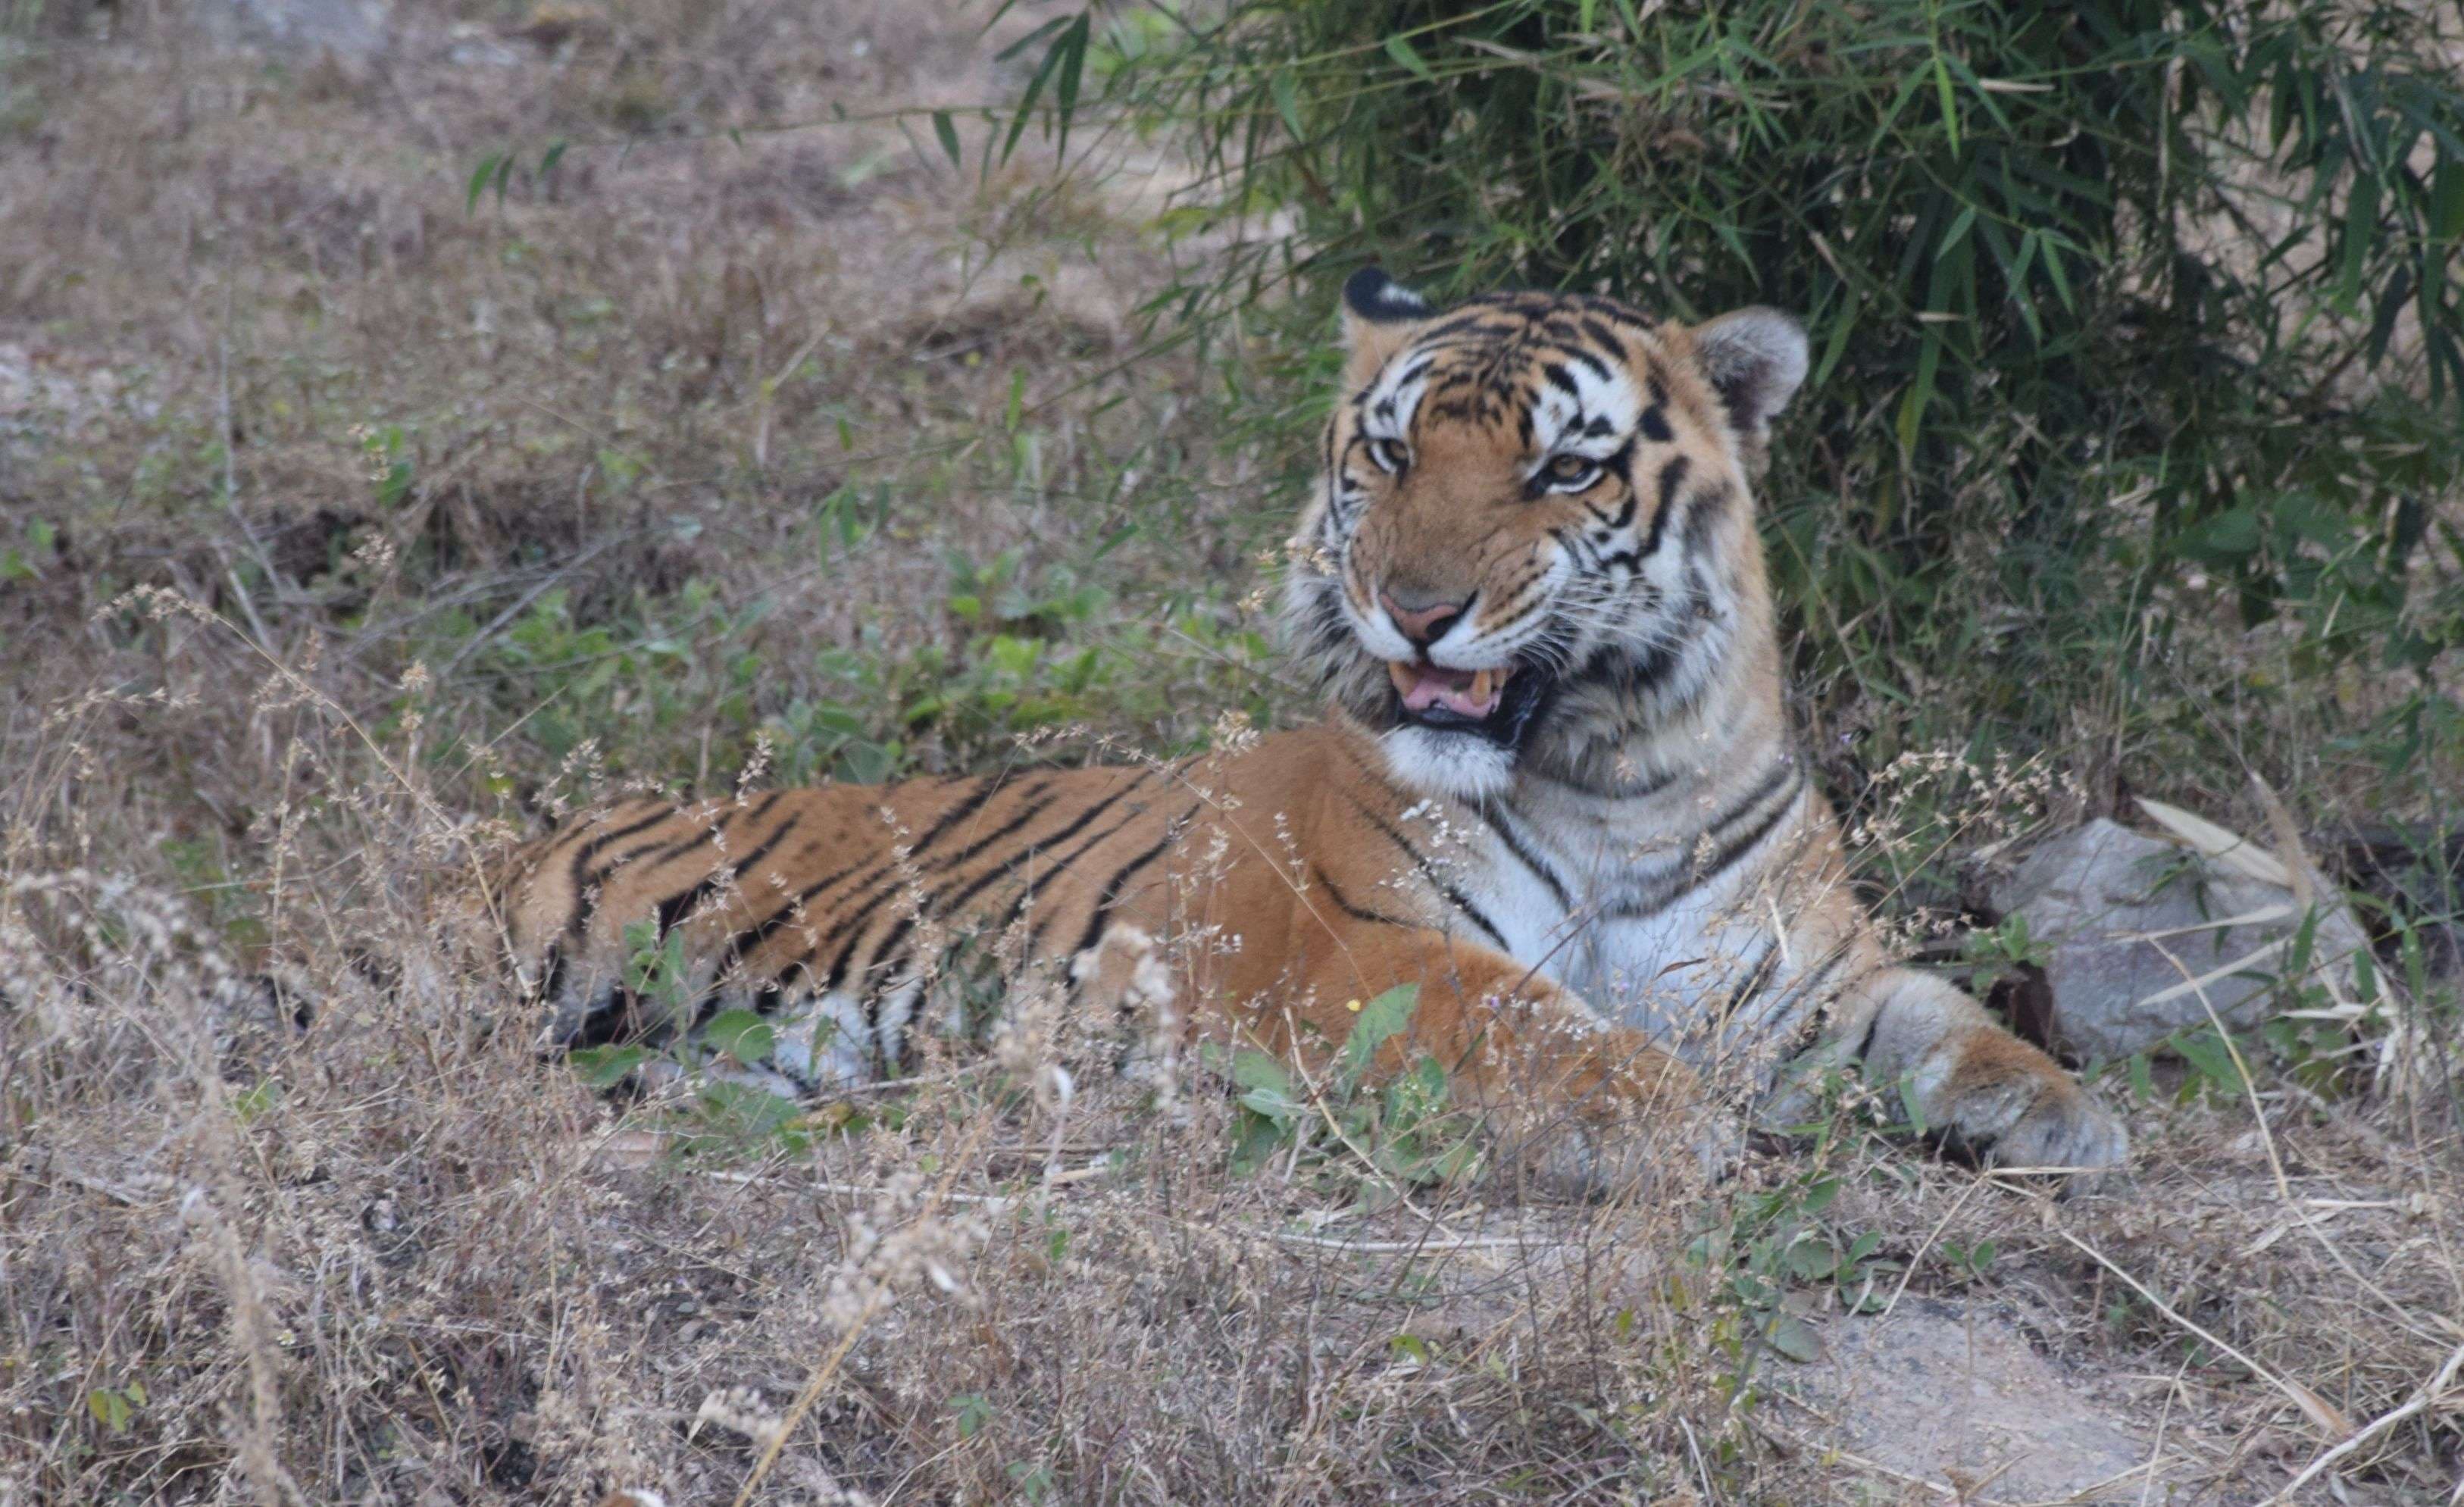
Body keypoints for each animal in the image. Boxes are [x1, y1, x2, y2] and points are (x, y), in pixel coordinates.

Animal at [480, 268, 2118, 1187]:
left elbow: (1944, 1020)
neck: (1616, 772)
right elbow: (1536, 1023)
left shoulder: (1801, 972)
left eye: (1561, 469)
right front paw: (1676, 1121)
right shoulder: (1360, 953)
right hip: (545, 956)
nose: (1416, 608)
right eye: (1389, 453)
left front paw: (2066, 1116)